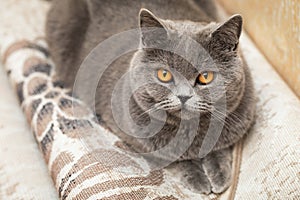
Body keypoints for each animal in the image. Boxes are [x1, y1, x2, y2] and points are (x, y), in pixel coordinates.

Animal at [46, 0, 255, 194]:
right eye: (164, 74)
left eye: (205, 77)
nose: (184, 96)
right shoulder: (134, 139)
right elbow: (171, 158)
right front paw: (197, 177)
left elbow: (220, 146)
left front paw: (219, 173)